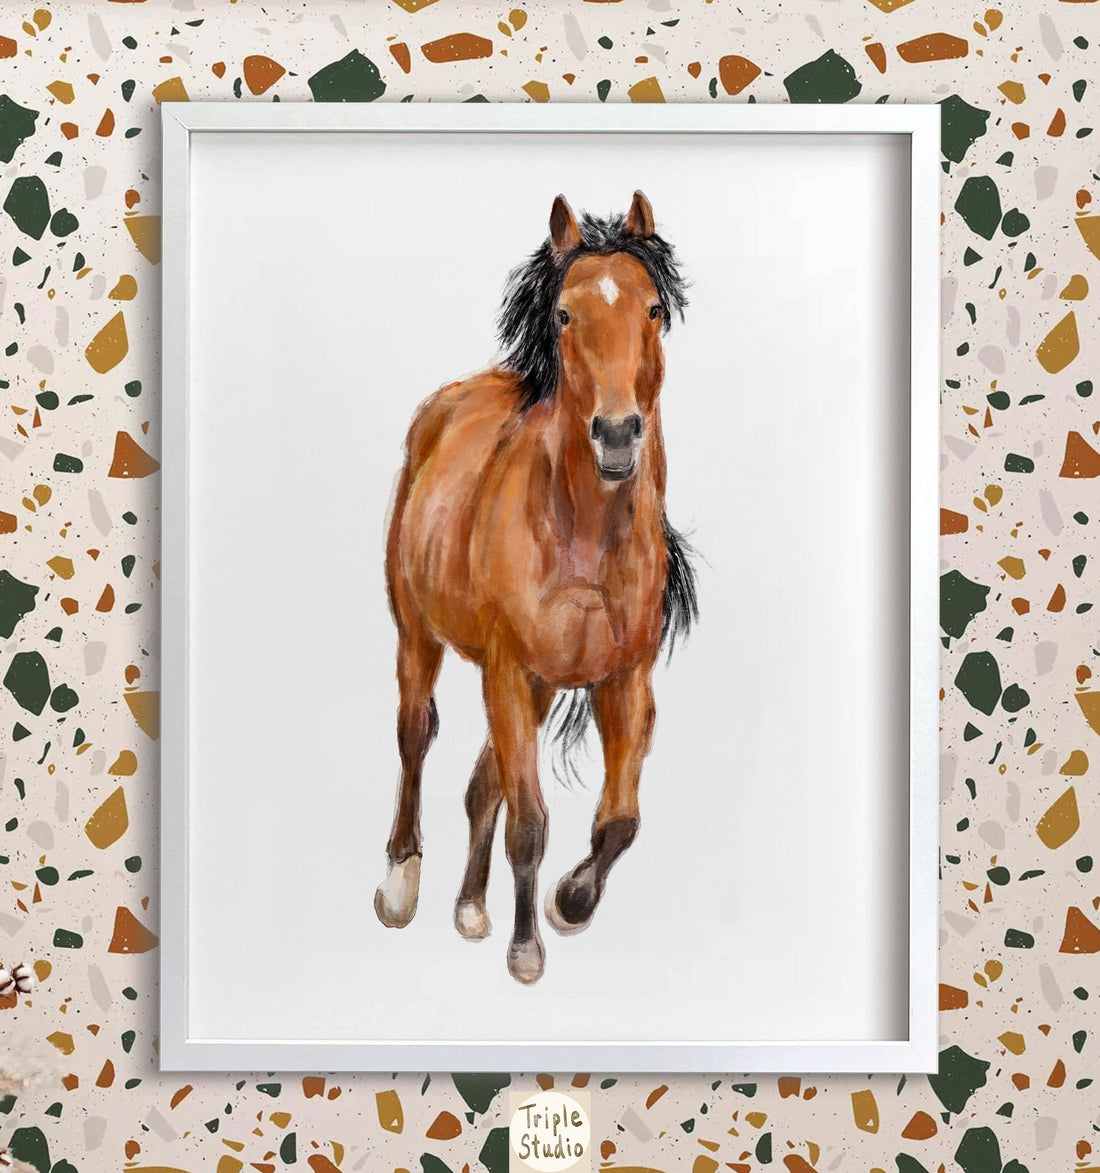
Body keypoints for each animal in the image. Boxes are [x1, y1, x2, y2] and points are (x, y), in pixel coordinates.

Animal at [374, 190, 698, 984]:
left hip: (540, 682)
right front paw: (527, 947)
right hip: (420, 634)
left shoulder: (623, 678)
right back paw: (401, 881)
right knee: (414, 734)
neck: (585, 536)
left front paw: (568, 902)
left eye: (652, 308)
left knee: (482, 782)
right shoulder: (508, 666)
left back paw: (469, 905)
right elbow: (528, 822)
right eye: (564, 314)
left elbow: (618, 821)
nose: (617, 434)